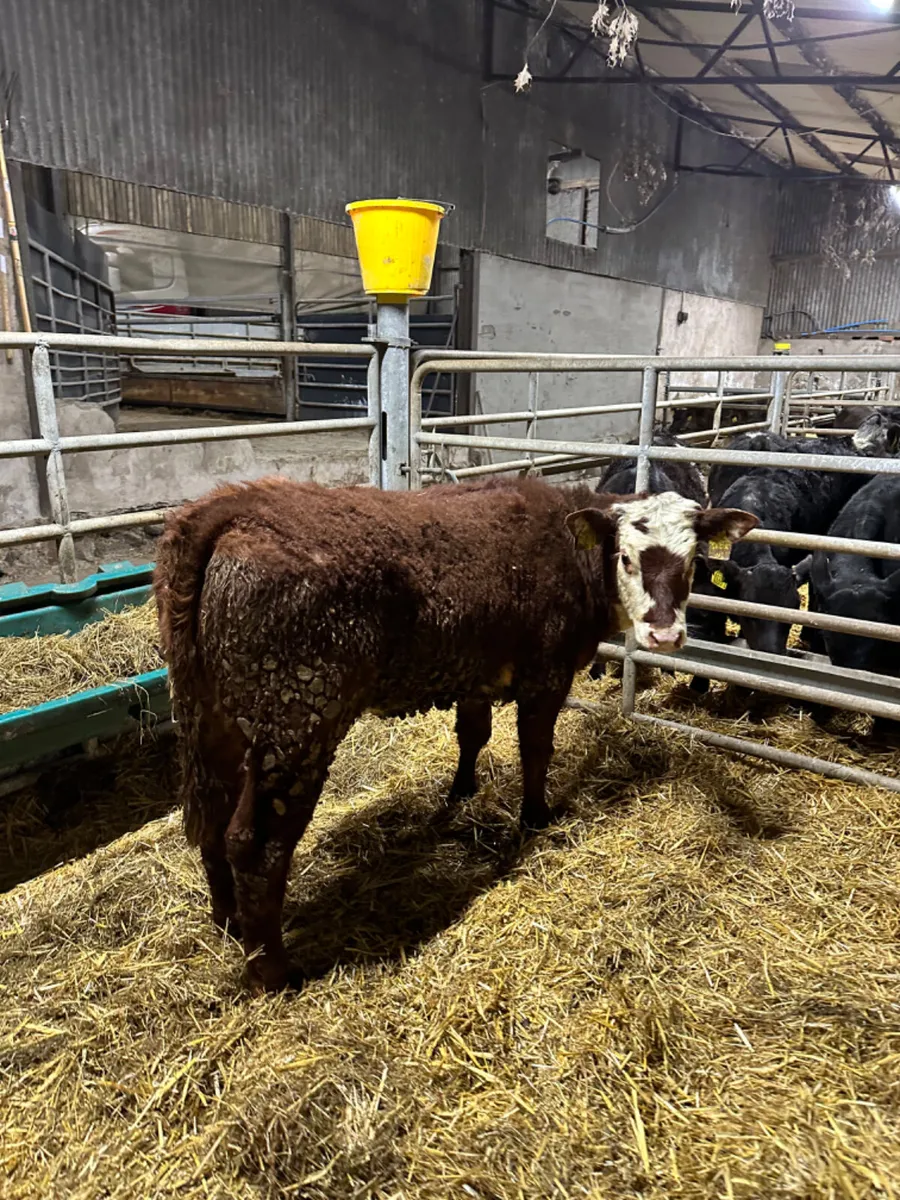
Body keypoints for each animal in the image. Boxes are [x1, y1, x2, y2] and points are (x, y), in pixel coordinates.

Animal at [154, 476, 756, 990]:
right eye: (626, 558)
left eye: (693, 561)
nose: (665, 635)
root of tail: (231, 507)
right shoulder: (547, 673)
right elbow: (535, 749)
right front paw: (536, 816)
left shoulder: (477, 671)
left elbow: (473, 734)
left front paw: (462, 791)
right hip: (297, 720)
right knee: (255, 843)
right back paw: (273, 972)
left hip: (210, 717)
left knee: (211, 819)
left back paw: (229, 921)